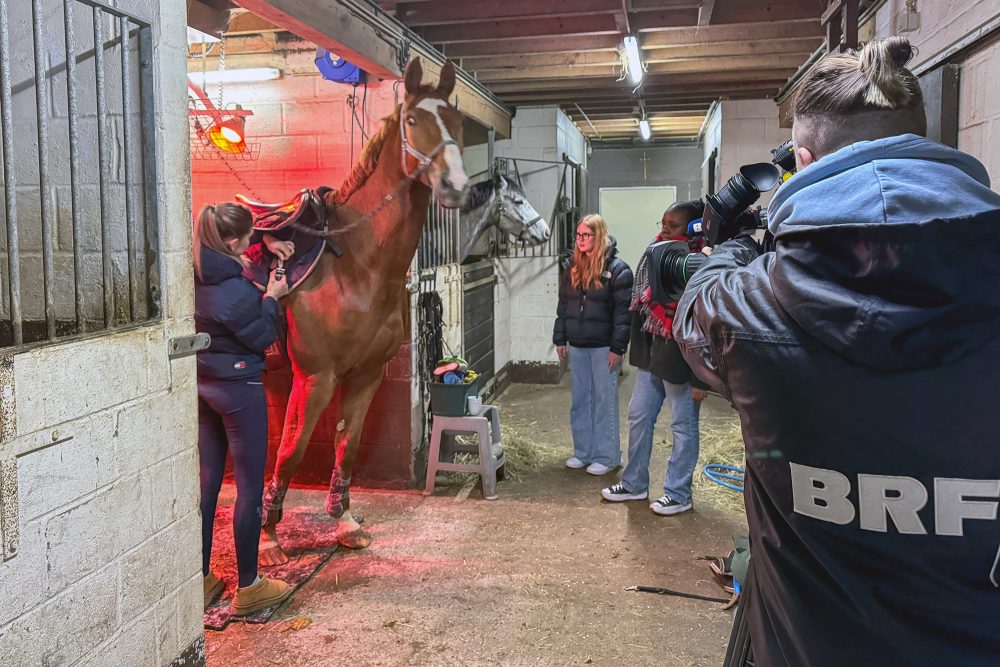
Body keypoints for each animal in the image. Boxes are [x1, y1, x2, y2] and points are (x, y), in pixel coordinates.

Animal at [262, 58, 472, 564]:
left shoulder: (366, 375)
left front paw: (345, 523)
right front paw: (270, 538)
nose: (456, 187)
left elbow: (347, 443)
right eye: (412, 120)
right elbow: (292, 450)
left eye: (457, 122)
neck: (354, 262)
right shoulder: (314, 377)